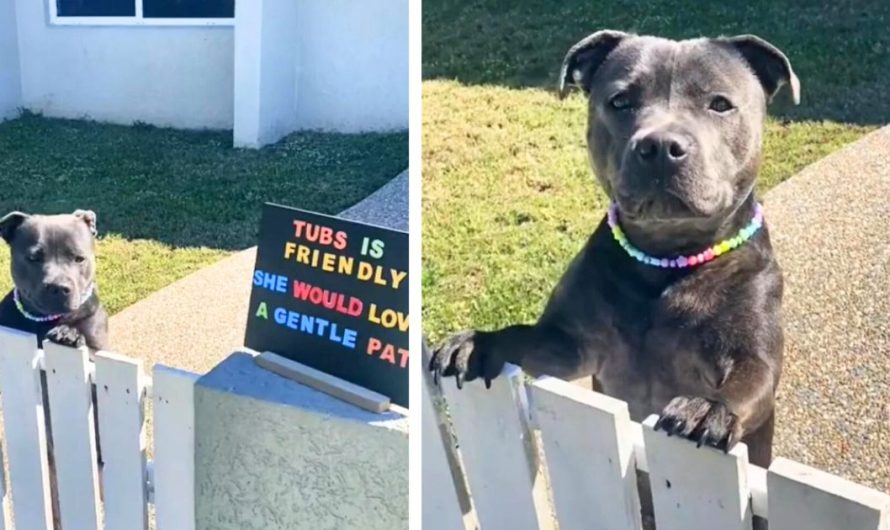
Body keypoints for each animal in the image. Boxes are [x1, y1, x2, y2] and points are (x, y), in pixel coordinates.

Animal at [426, 31, 796, 468]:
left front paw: (708, 407)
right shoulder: (570, 345)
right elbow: (523, 335)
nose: (660, 145)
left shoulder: (754, 354)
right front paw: (478, 343)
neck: (665, 262)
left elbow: (748, 382)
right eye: (620, 101)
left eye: (720, 103)